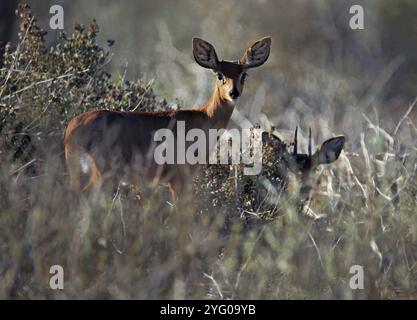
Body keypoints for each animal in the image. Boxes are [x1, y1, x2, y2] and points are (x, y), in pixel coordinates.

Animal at [61, 37, 270, 200]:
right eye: (219, 75)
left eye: (244, 74)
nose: (234, 93)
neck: (204, 119)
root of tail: (71, 129)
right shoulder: (178, 178)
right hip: (101, 172)